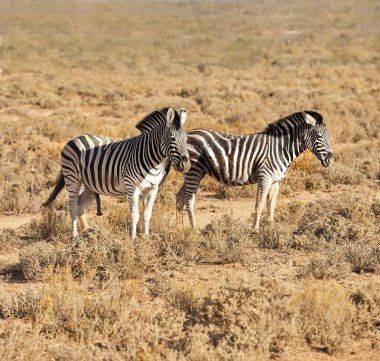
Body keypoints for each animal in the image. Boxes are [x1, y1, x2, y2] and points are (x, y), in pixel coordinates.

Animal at [43, 107, 189, 239]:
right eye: (172, 138)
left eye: (187, 138)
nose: (186, 164)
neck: (153, 162)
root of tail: (75, 138)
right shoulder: (133, 188)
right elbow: (134, 215)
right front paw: (133, 239)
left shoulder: (153, 189)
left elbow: (147, 214)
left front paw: (146, 237)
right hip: (72, 178)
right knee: (72, 206)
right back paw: (75, 237)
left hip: (90, 185)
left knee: (80, 206)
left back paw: (88, 234)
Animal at [175, 109, 332, 228]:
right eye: (319, 136)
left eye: (328, 136)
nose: (330, 160)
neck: (280, 149)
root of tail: (188, 133)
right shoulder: (265, 177)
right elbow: (259, 204)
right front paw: (255, 230)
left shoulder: (275, 181)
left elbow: (271, 205)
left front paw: (271, 228)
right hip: (194, 171)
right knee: (188, 199)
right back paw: (194, 229)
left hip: (196, 172)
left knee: (179, 197)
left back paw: (178, 229)